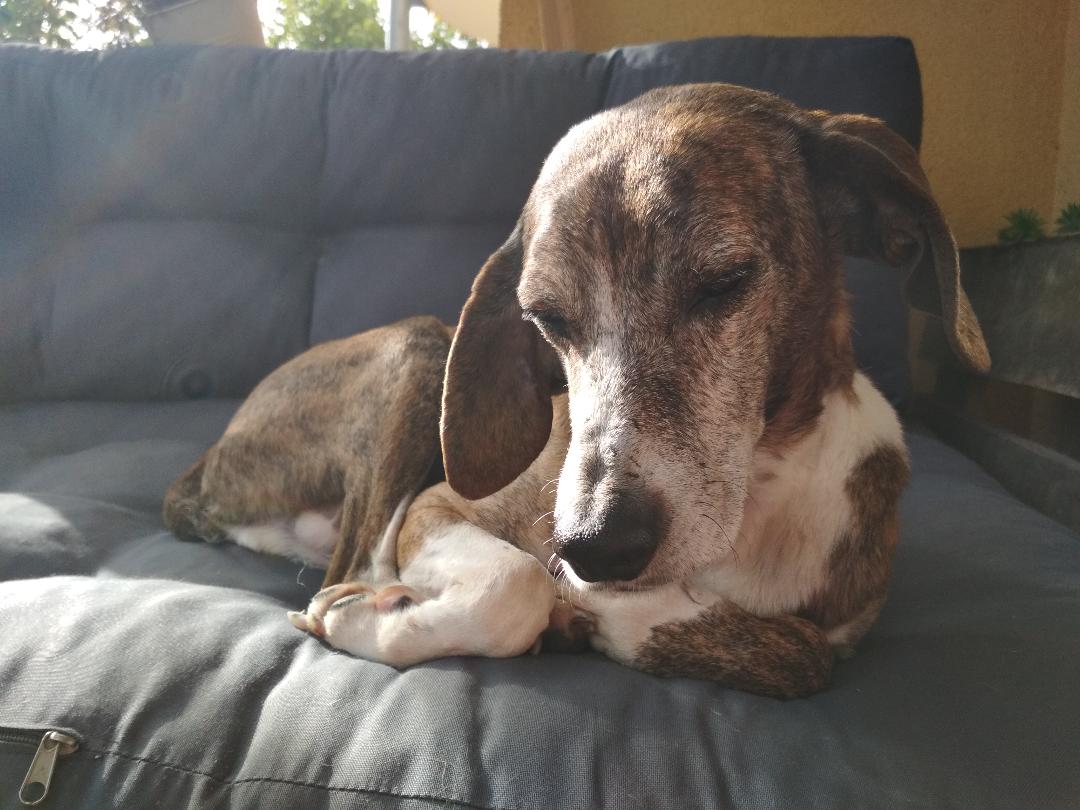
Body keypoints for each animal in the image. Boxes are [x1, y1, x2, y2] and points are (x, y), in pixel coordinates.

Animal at [164, 84, 989, 699]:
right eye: (546, 318)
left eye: (725, 282)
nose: (596, 546)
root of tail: (204, 464)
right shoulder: (442, 506)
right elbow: (519, 583)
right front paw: (375, 623)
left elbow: (801, 656)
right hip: (419, 348)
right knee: (358, 561)